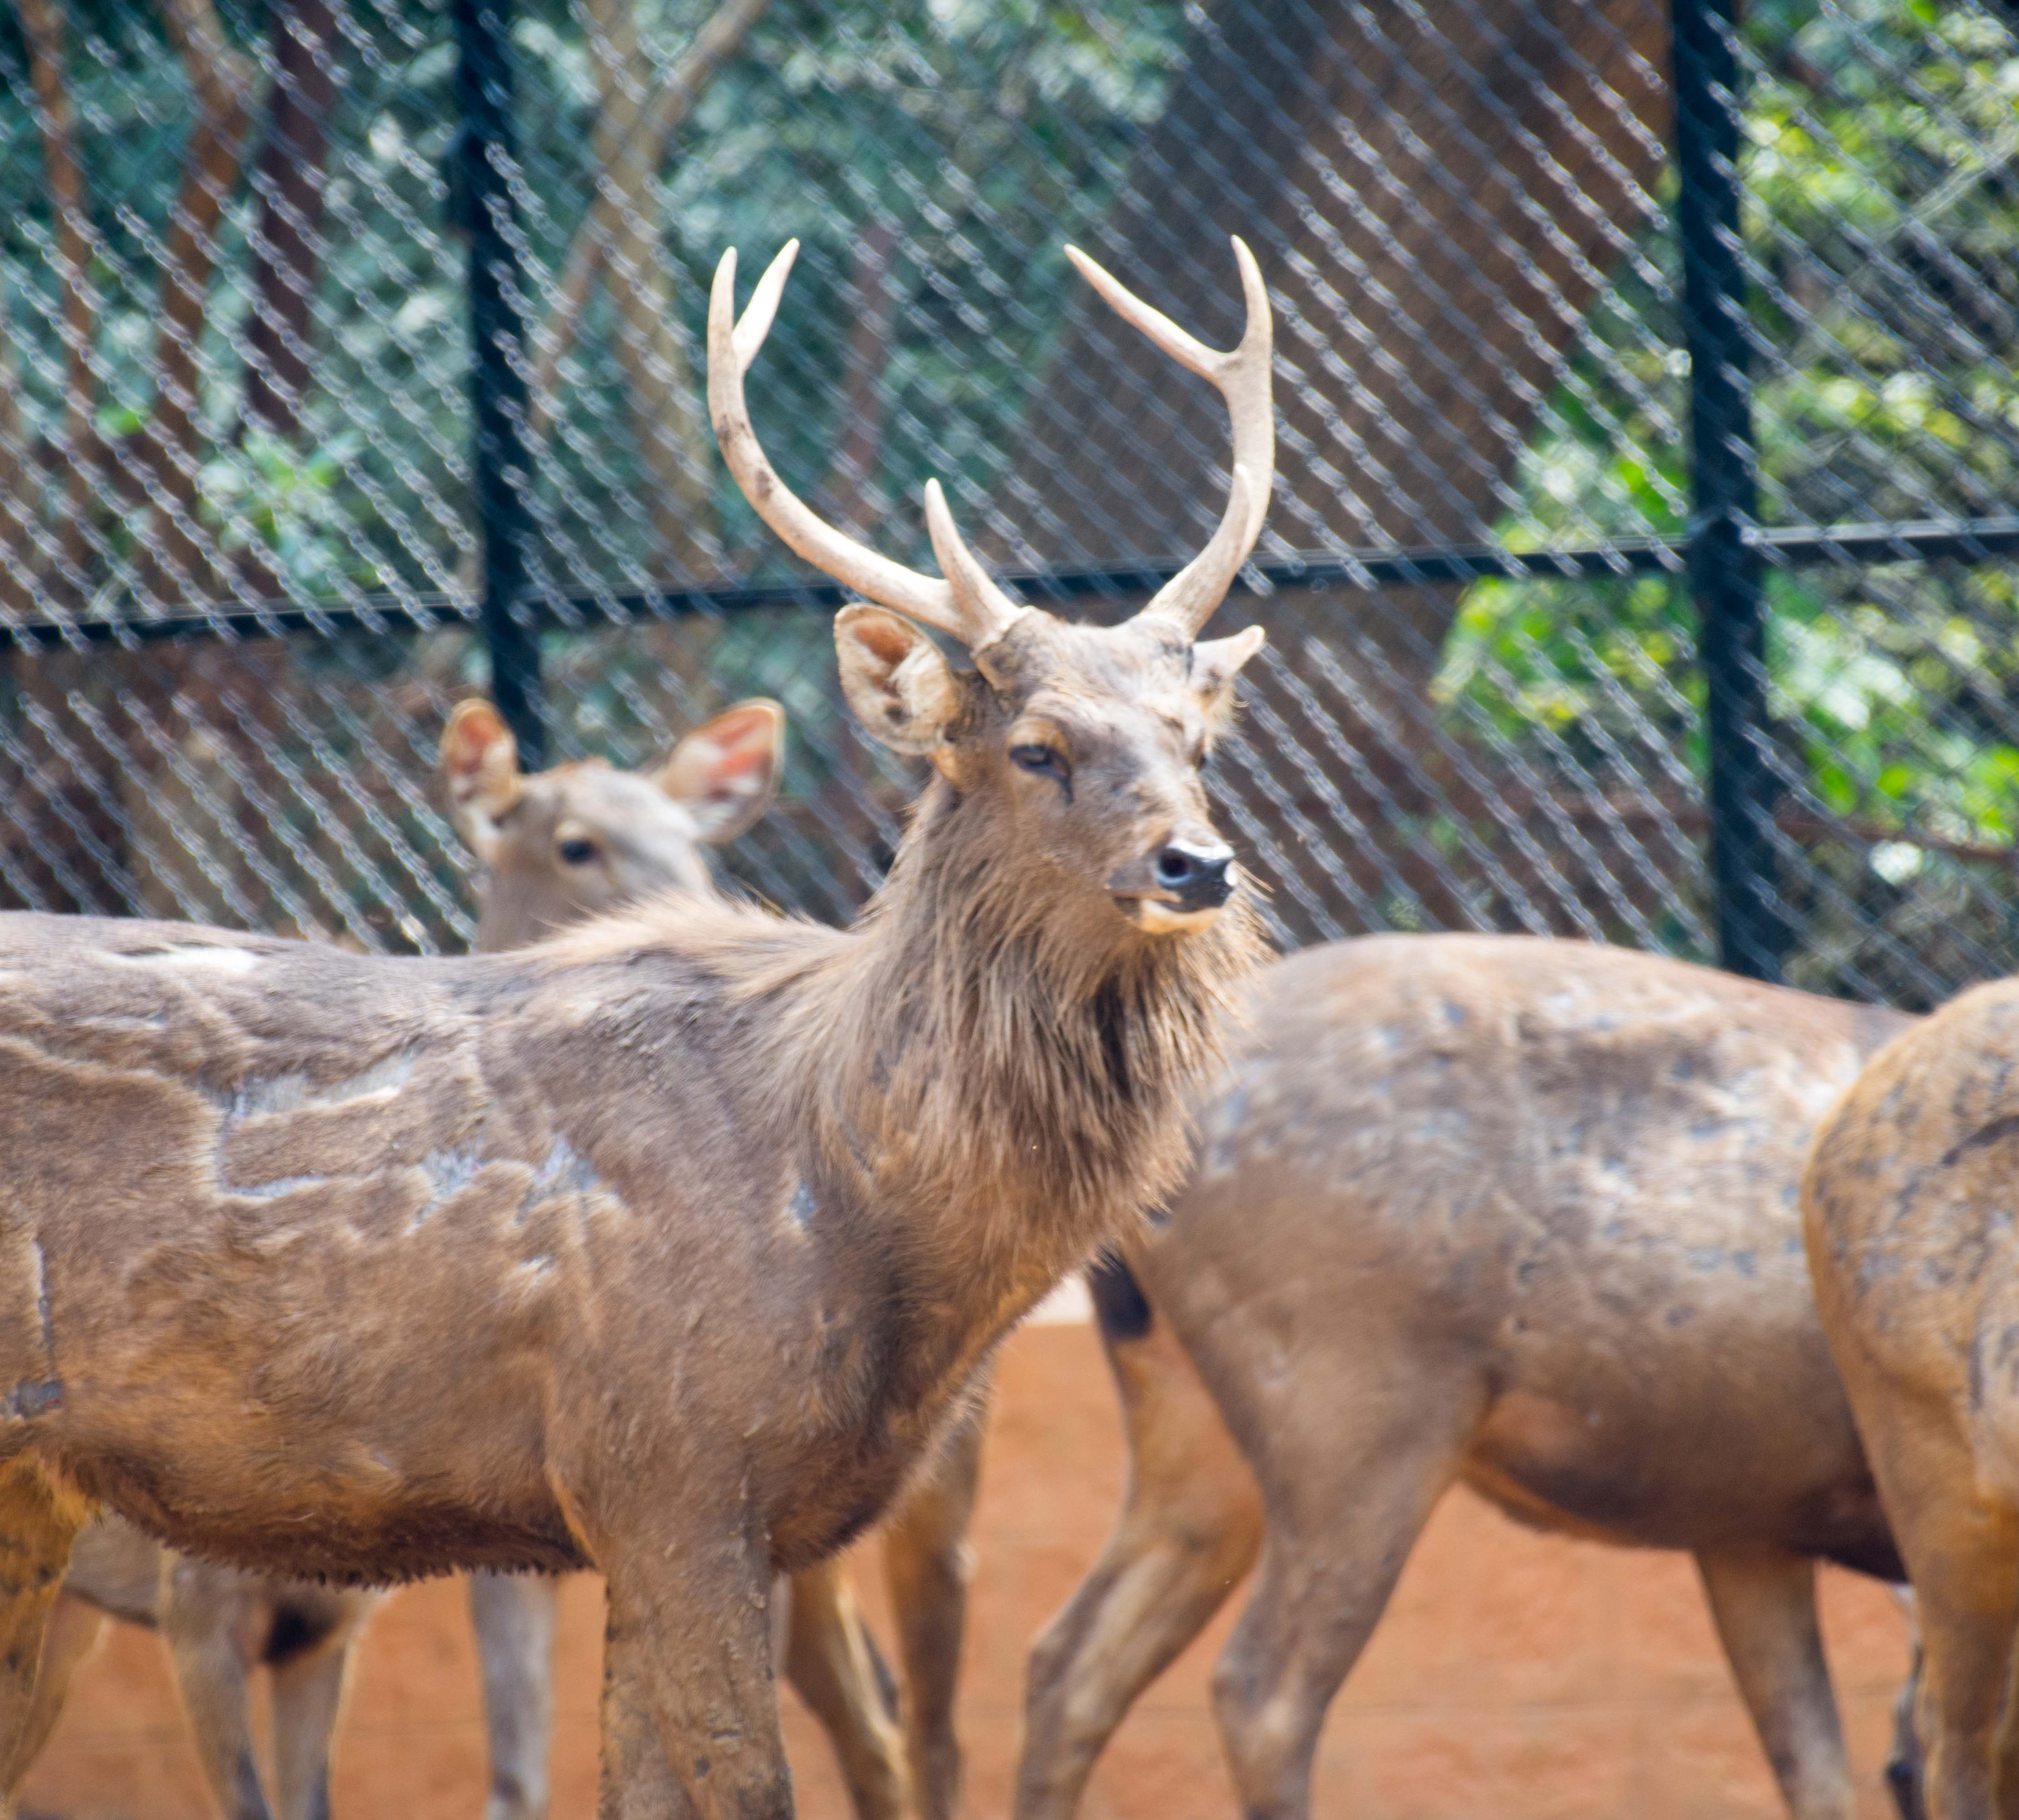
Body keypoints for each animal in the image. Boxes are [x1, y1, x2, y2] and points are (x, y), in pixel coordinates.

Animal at [0, 232, 1276, 1820]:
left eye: (1196, 738)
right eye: (1036, 747)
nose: (1195, 864)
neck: (862, 1200)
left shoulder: (681, 1512)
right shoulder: (670, 1463)